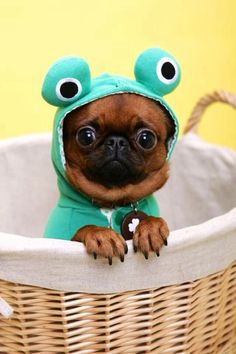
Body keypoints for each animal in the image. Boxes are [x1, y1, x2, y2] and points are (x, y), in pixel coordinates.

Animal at [63, 93, 174, 262]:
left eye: (146, 139)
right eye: (86, 136)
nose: (116, 140)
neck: (114, 200)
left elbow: (151, 219)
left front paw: (151, 227)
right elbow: (84, 227)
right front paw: (101, 234)